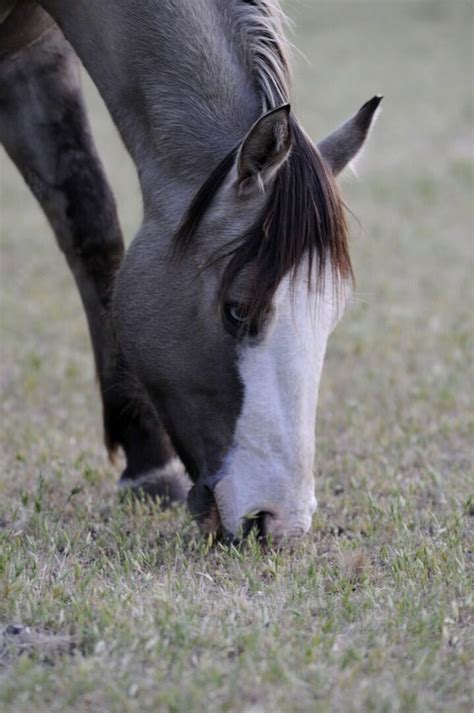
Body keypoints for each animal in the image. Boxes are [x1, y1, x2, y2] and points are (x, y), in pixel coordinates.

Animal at [0, 0, 380, 544]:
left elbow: (90, 229)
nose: (279, 523)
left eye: (332, 316)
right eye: (237, 310)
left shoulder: (37, 60)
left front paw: (148, 465)